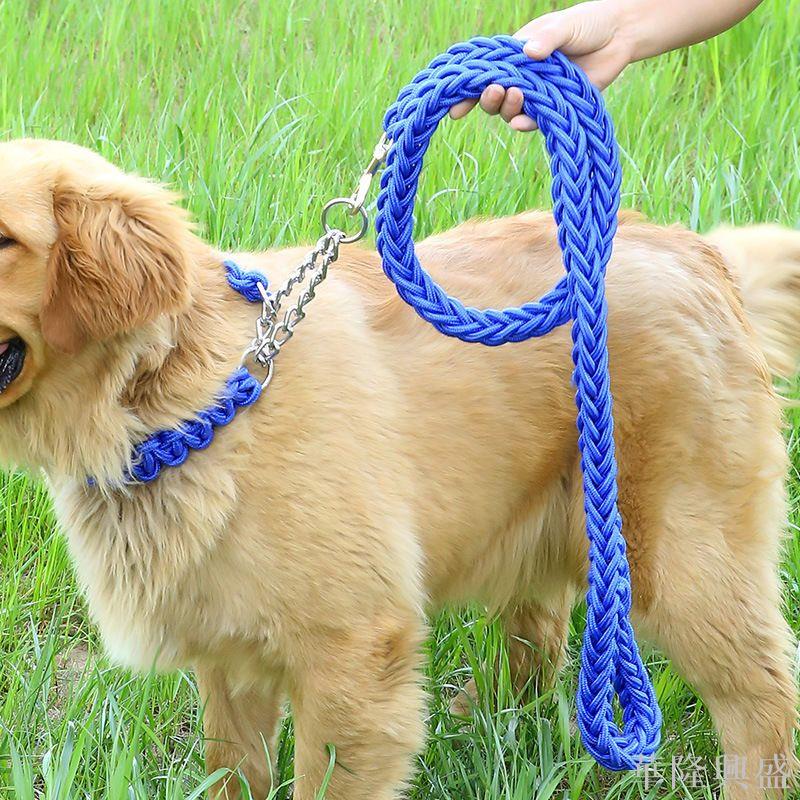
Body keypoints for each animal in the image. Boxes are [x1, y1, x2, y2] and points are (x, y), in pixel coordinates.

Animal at [1, 139, 800, 800]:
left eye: (6, 238)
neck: (184, 386)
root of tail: (700, 253)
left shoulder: (352, 654)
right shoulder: (228, 658)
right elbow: (232, 773)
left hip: (685, 565)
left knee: (763, 702)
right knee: (539, 646)